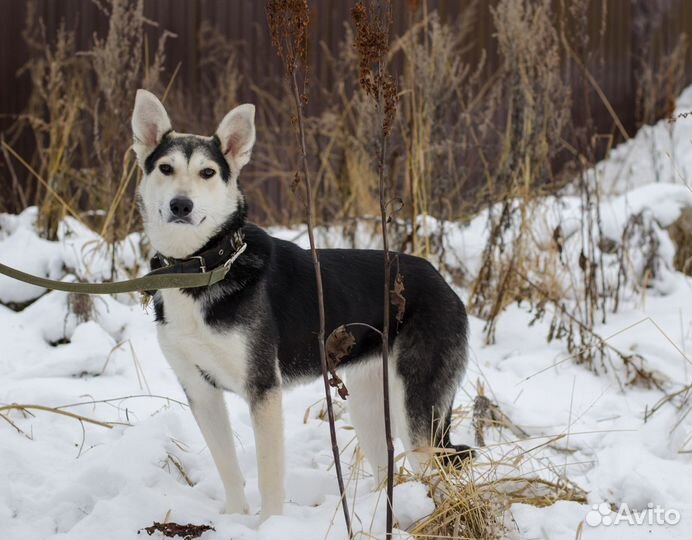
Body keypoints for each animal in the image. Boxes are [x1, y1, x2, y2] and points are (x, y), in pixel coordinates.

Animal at [130, 88, 470, 520]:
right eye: (166, 168)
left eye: (207, 173)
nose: (181, 205)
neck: (202, 267)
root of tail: (444, 283)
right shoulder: (199, 391)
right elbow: (228, 468)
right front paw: (235, 518)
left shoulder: (263, 389)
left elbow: (269, 475)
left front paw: (269, 524)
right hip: (369, 404)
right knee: (388, 469)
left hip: (415, 411)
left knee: (434, 477)